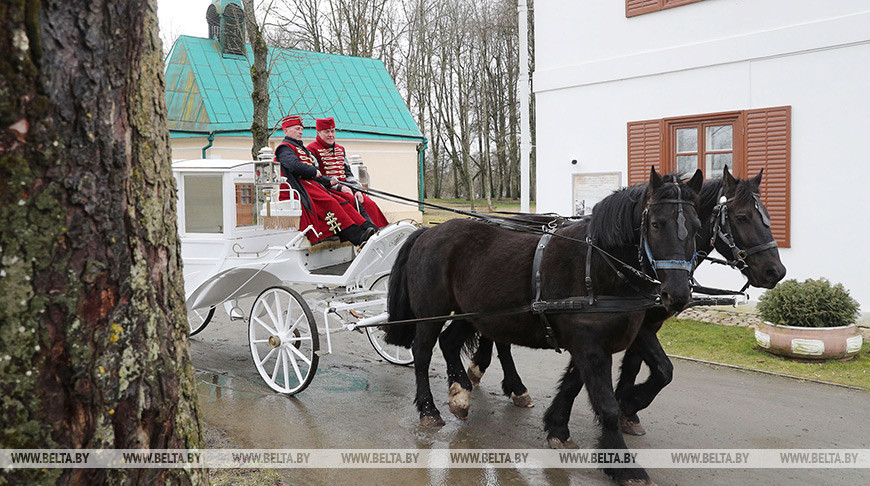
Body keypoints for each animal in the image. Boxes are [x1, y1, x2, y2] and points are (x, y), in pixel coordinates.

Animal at [384, 168, 704, 486]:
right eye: (656, 224)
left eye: (697, 226)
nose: (677, 295)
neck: (599, 265)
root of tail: (429, 231)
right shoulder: (590, 346)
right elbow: (607, 405)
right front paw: (624, 465)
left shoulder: (623, 335)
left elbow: (657, 372)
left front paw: (562, 426)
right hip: (431, 313)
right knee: (423, 352)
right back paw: (429, 409)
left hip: (472, 312)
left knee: (449, 342)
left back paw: (461, 394)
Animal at [470, 168, 792, 436]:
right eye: (742, 217)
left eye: (768, 216)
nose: (775, 271)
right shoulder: (624, 325)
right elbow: (645, 370)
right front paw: (624, 405)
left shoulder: (642, 323)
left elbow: (642, 367)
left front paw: (627, 408)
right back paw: (505, 382)